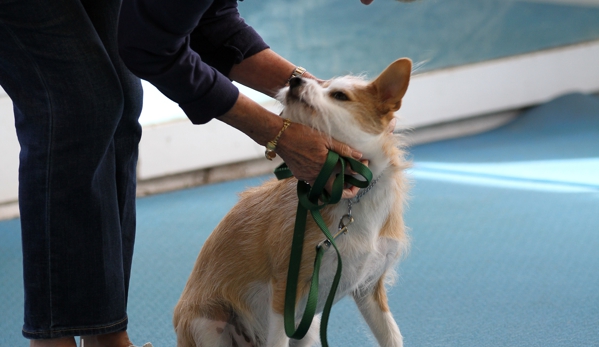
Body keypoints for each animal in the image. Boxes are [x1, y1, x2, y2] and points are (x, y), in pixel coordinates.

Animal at [173, 58, 414, 346]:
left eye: (339, 95)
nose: (295, 80)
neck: (351, 195)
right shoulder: (286, 292)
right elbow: (278, 339)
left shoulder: (369, 290)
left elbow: (391, 335)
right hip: (210, 326)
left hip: (308, 329)